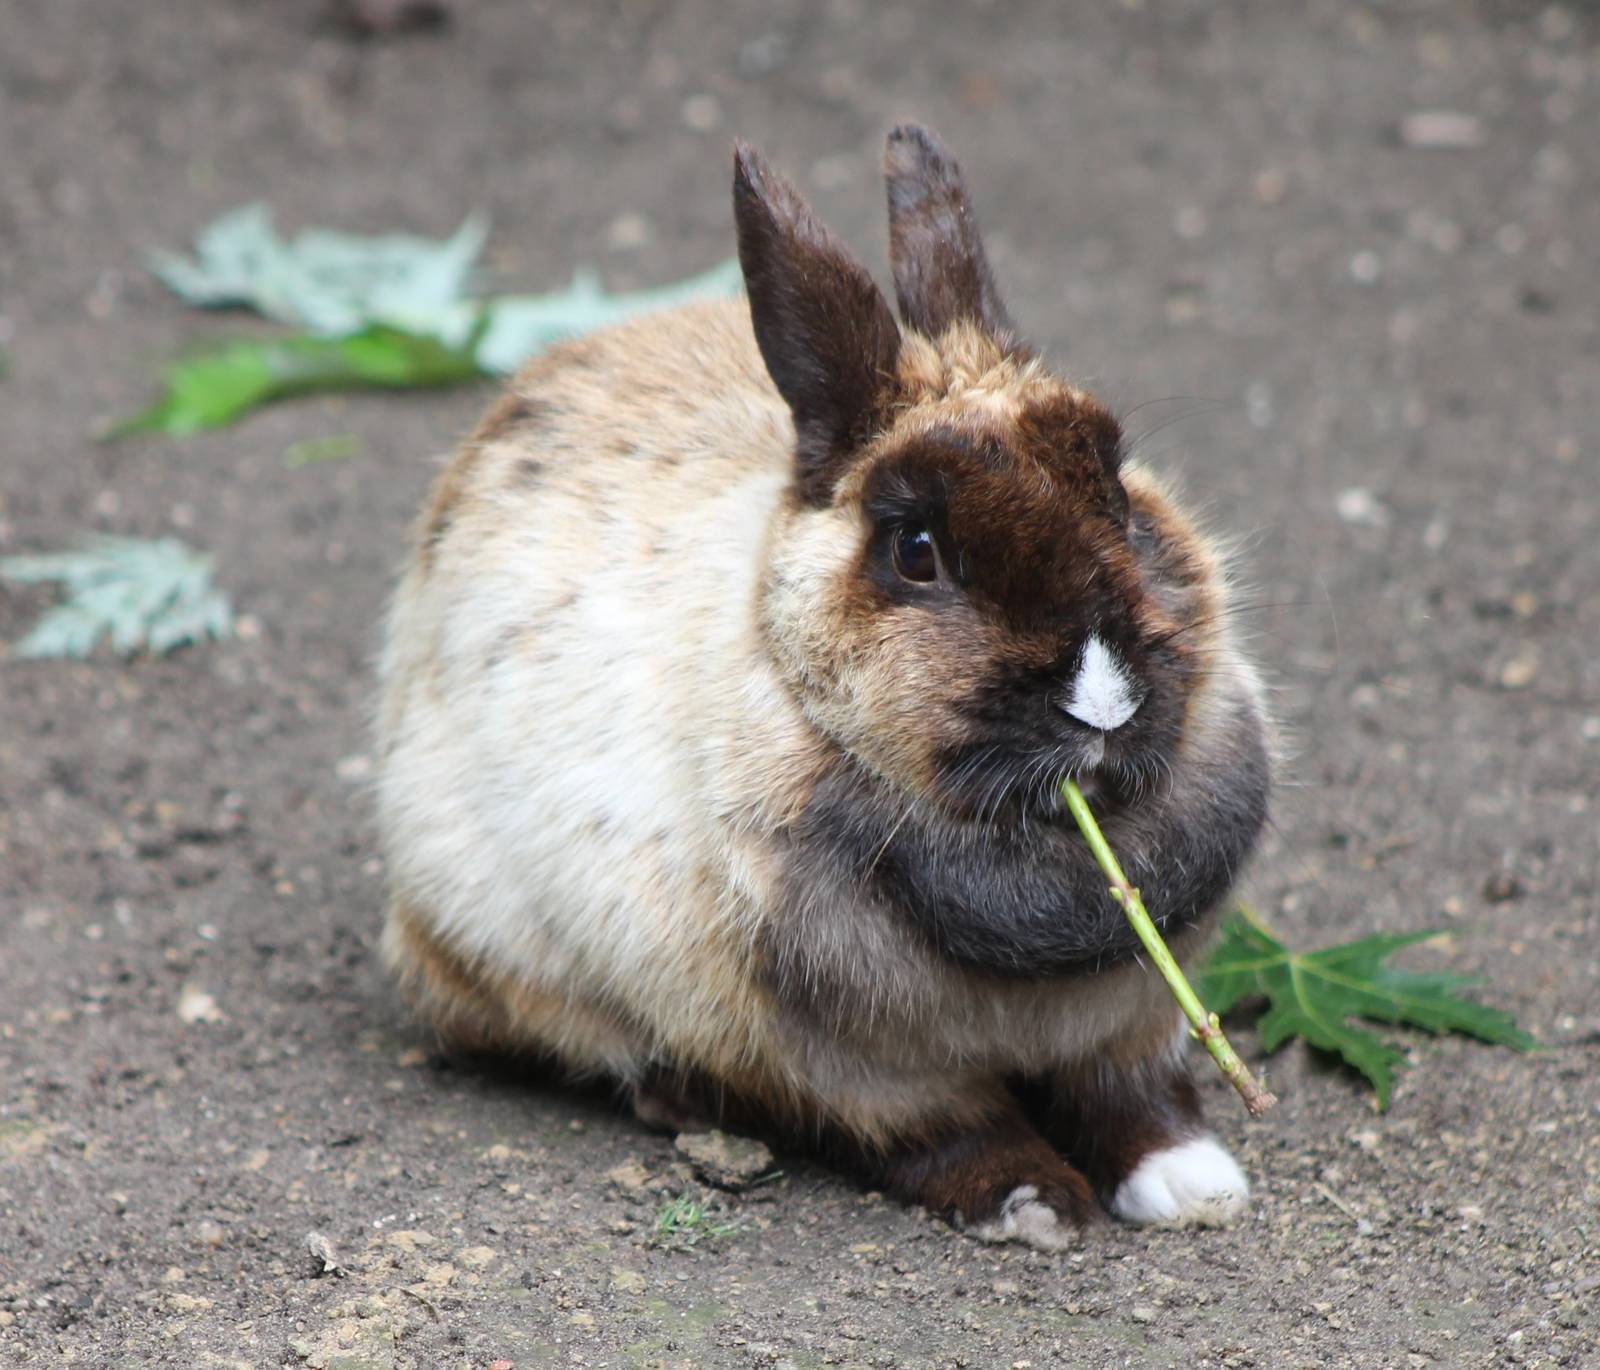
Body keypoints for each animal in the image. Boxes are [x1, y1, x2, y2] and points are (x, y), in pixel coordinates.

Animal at [374, 124, 1271, 1249]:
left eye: (1115, 486)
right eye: (916, 549)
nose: (1101, 699)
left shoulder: (1130, 1022)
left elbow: (1133, 1095)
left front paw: (1192, 1182)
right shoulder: (862, 1062)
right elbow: (949, 1129)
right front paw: (1033, 1206)